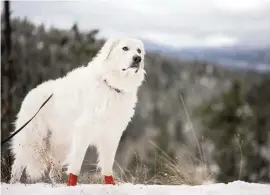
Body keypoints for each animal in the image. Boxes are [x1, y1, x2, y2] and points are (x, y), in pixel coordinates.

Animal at [10, 37, 146, 185]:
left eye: (139, 51)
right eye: (125, 48)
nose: (137, 58)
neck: (111, 85)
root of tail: (31, 93)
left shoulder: (111, 133)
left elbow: (107, 164)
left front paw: (111, 183)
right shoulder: (83, 130)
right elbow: (77, 163)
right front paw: (72, 184)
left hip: (60, 145)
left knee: (53, 172)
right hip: (33, 140)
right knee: (17, 165)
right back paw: (13, 183)